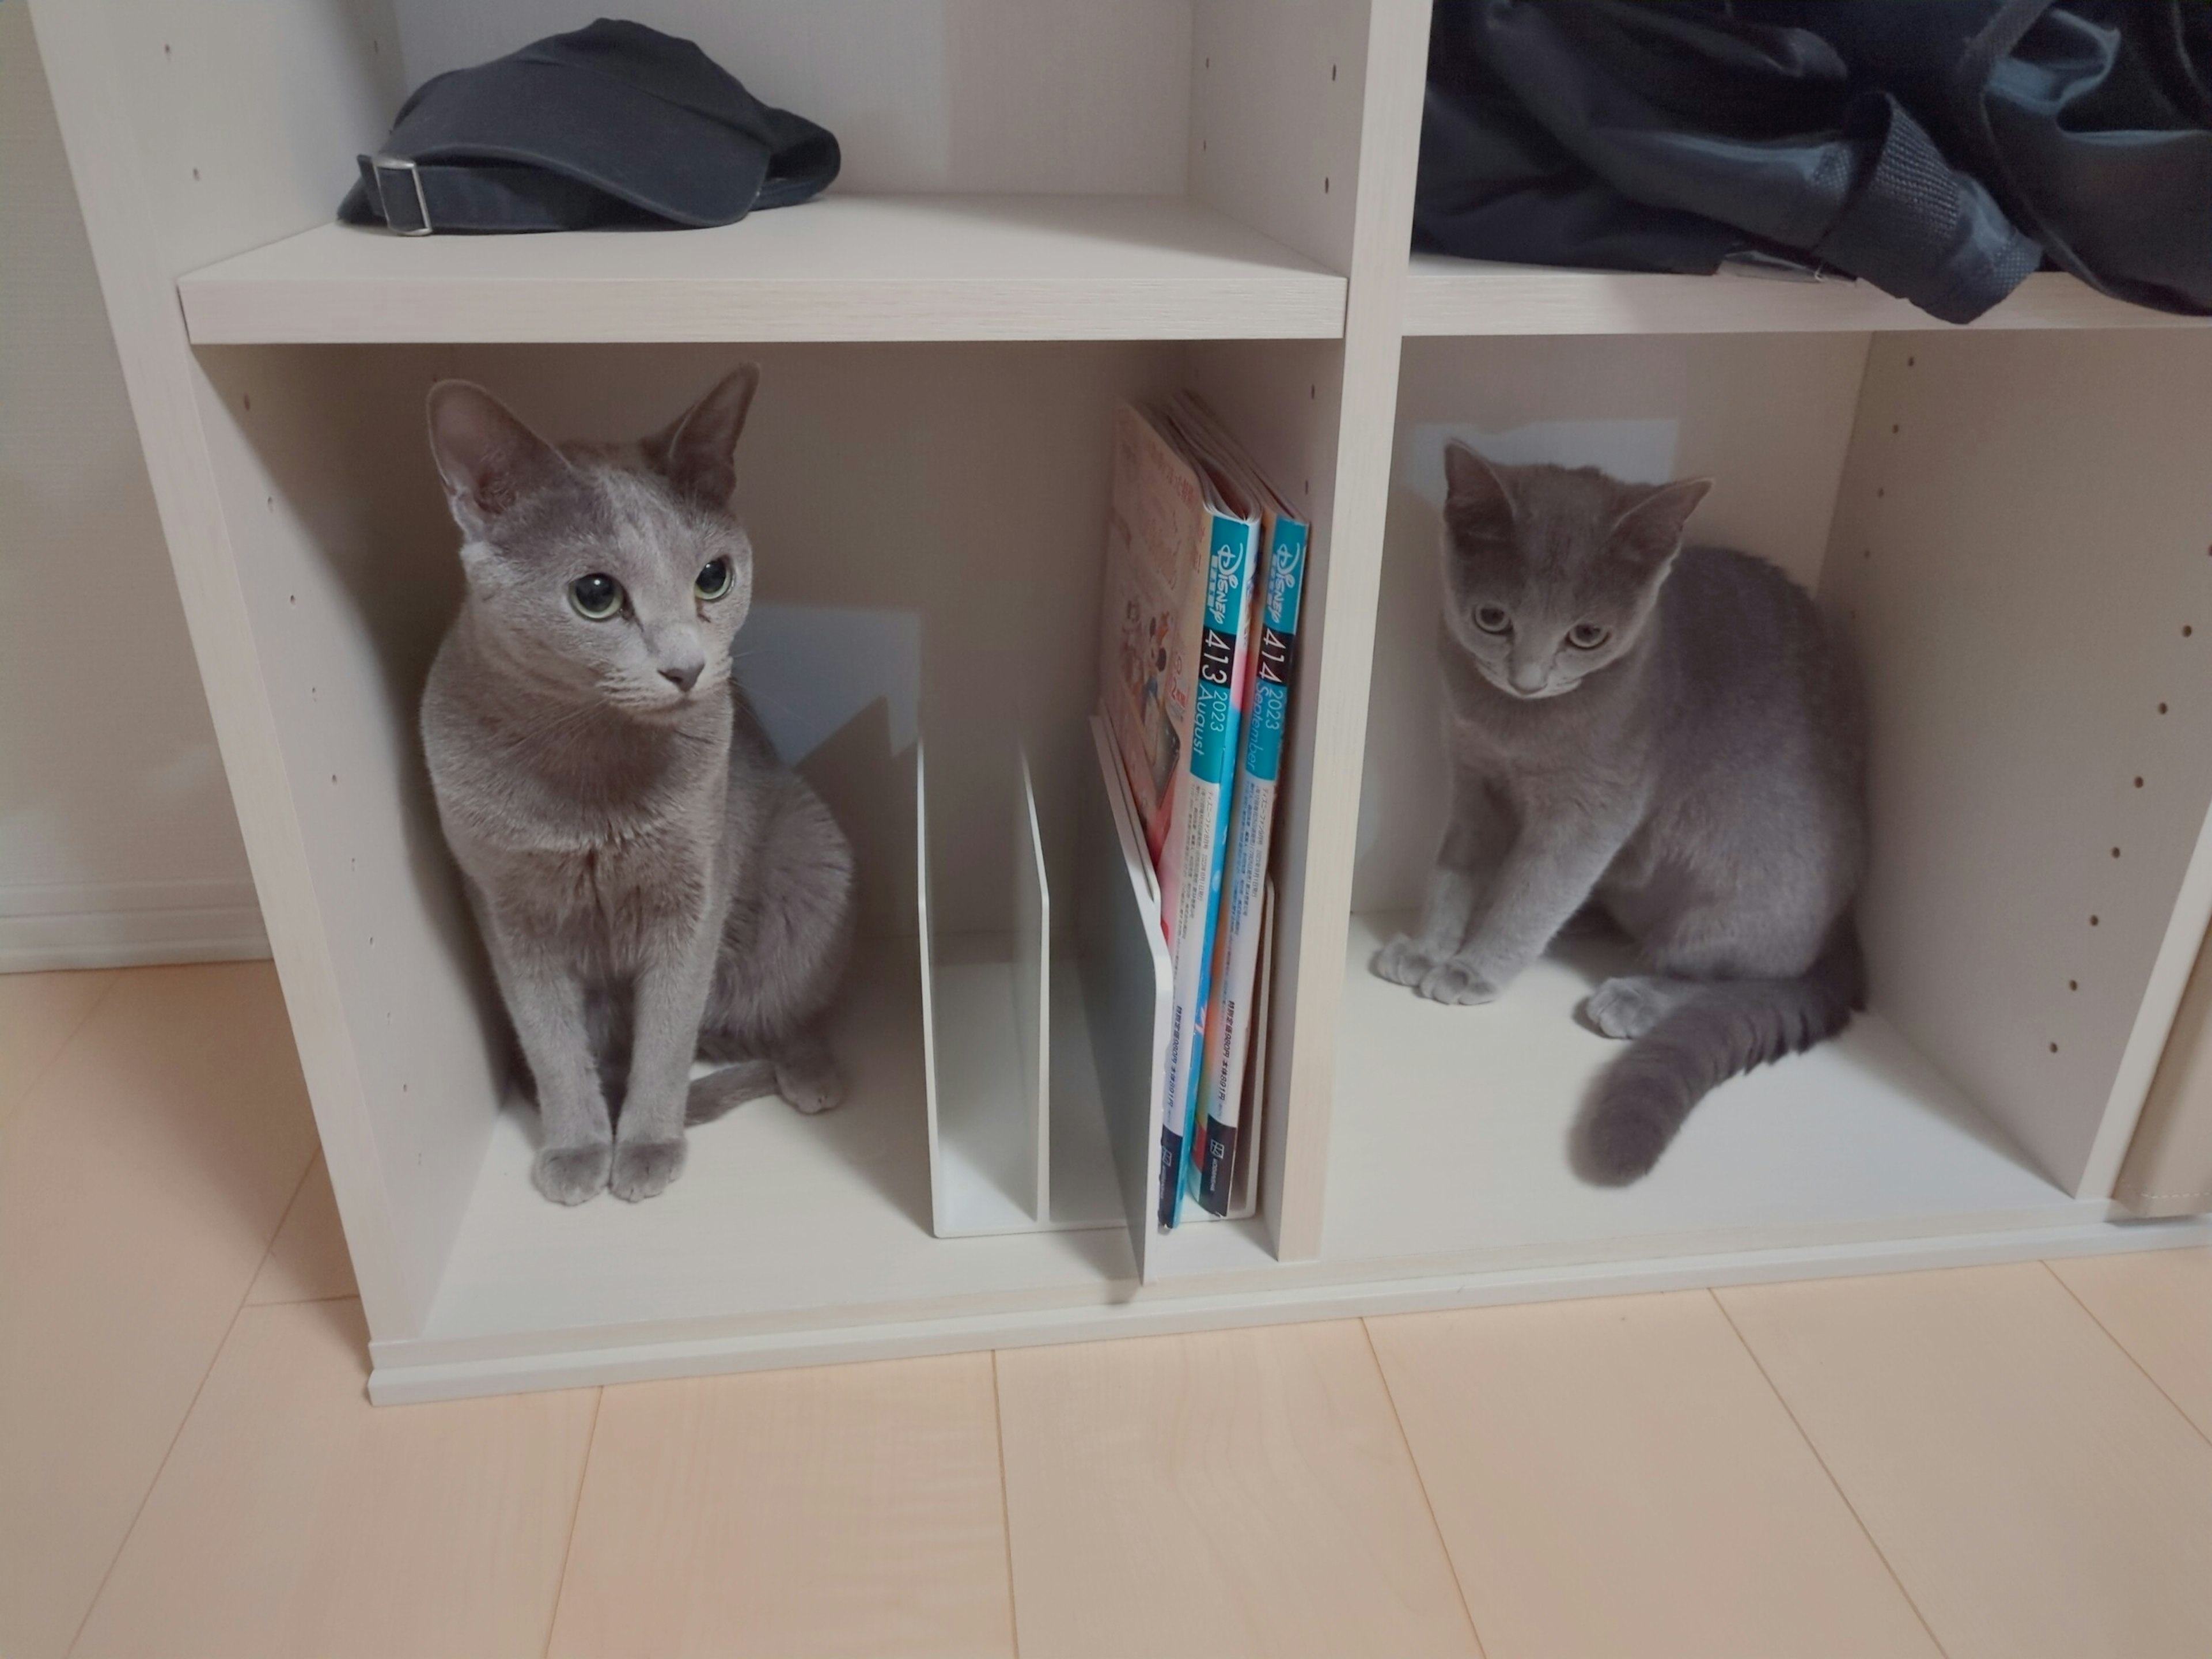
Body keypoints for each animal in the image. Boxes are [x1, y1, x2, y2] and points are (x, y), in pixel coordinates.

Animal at [418, 369, 858, 1212]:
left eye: (714, 577)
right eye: (595, 594)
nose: (688, 669)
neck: (589, 781)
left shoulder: (694, 888)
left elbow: (666, 1035)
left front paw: (649, 1145)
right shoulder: (505, 909)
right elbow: (551, 1043)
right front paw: (579, 1148)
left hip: (812, 857)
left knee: (785, 1006)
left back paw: (813, 1073)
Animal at [1380, 449, 1866, 1185]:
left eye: (1587, 636)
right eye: (1492, 618)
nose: (1527, 678)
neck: (1512, 727)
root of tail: (1847, 930)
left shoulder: (1591, 813)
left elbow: (1531, 895)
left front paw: (1473, 968)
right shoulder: (1470, 780)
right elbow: (1452, 875)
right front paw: (1429, 947)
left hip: (1735, 908)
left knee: (1730, 978)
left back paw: (1635, 996)